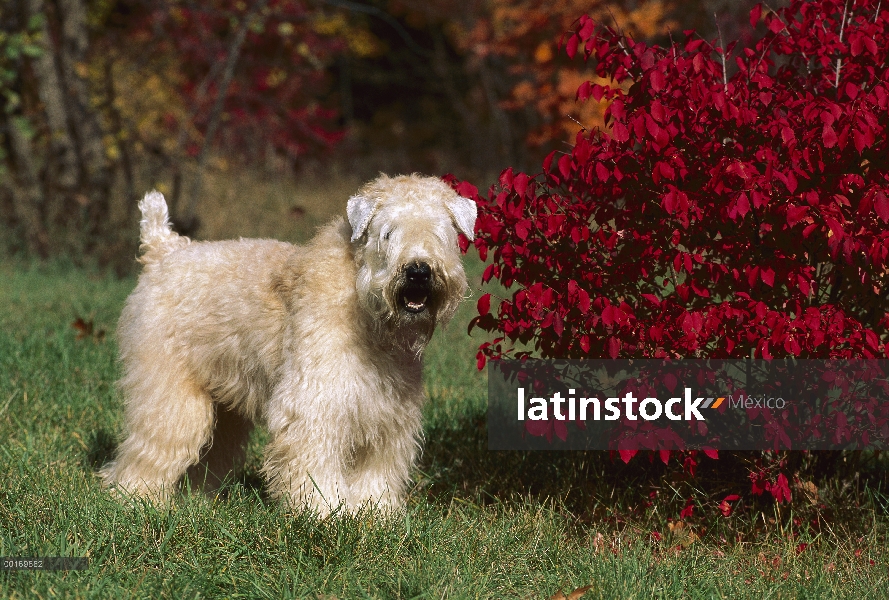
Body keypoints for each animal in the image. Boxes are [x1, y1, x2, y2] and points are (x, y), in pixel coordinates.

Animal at [100, 173, 478, 516]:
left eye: (441, 233)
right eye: (388, 233)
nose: (418, 271)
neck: (366, 311)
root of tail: (163, 250)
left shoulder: (387, 415)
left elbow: (377, 472)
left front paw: (376, 515)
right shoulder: (315, 405)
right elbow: (316, 466)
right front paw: (325, 513)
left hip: (224, 406)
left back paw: (196, 501)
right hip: (171, 395)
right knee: (151, 449)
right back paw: (136, 501)